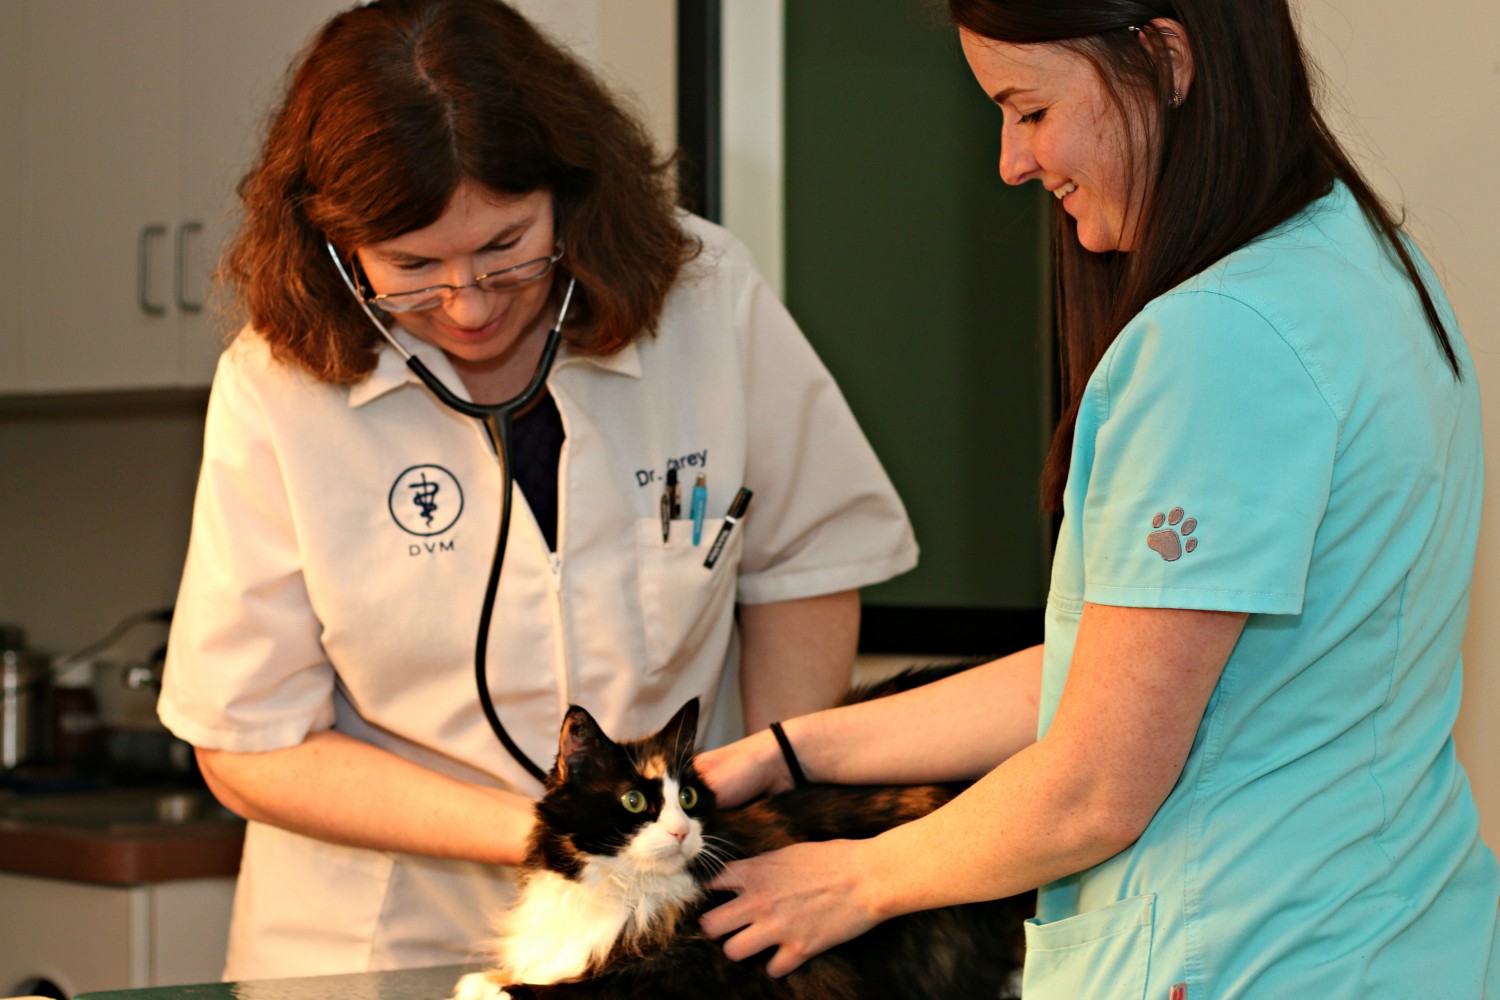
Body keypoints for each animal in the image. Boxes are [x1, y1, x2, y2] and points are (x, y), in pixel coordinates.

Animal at [453, 665, 1032, 1000]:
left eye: (687, 798)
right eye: (634, 801)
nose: (682, 832)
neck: (624, 893)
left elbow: (574, 992)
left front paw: (509, 990)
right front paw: (486, 981)